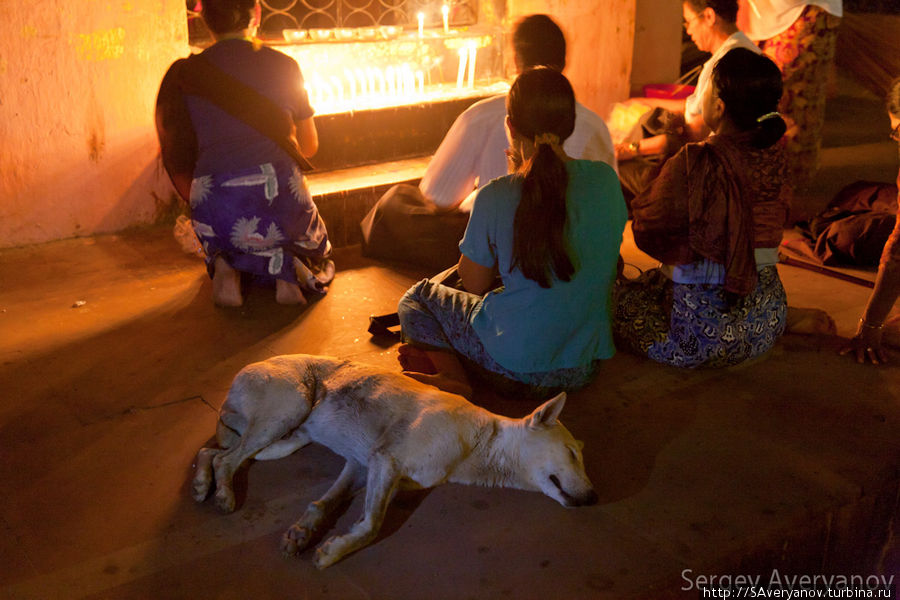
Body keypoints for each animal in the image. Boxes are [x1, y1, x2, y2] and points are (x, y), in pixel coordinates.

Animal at [192, 354, 596, 568]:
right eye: (572, 454)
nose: (594, 498)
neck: (477, 444)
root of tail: (245, 369)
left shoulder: (362, 465)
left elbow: (323, 504)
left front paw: (304, 533)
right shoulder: (385, 461)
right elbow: (371, 525)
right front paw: (334, 551)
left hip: (283, 440)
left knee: (214, 453)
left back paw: (200, 482)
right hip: (288, 410)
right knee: (227, 460)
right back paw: (223, 494)